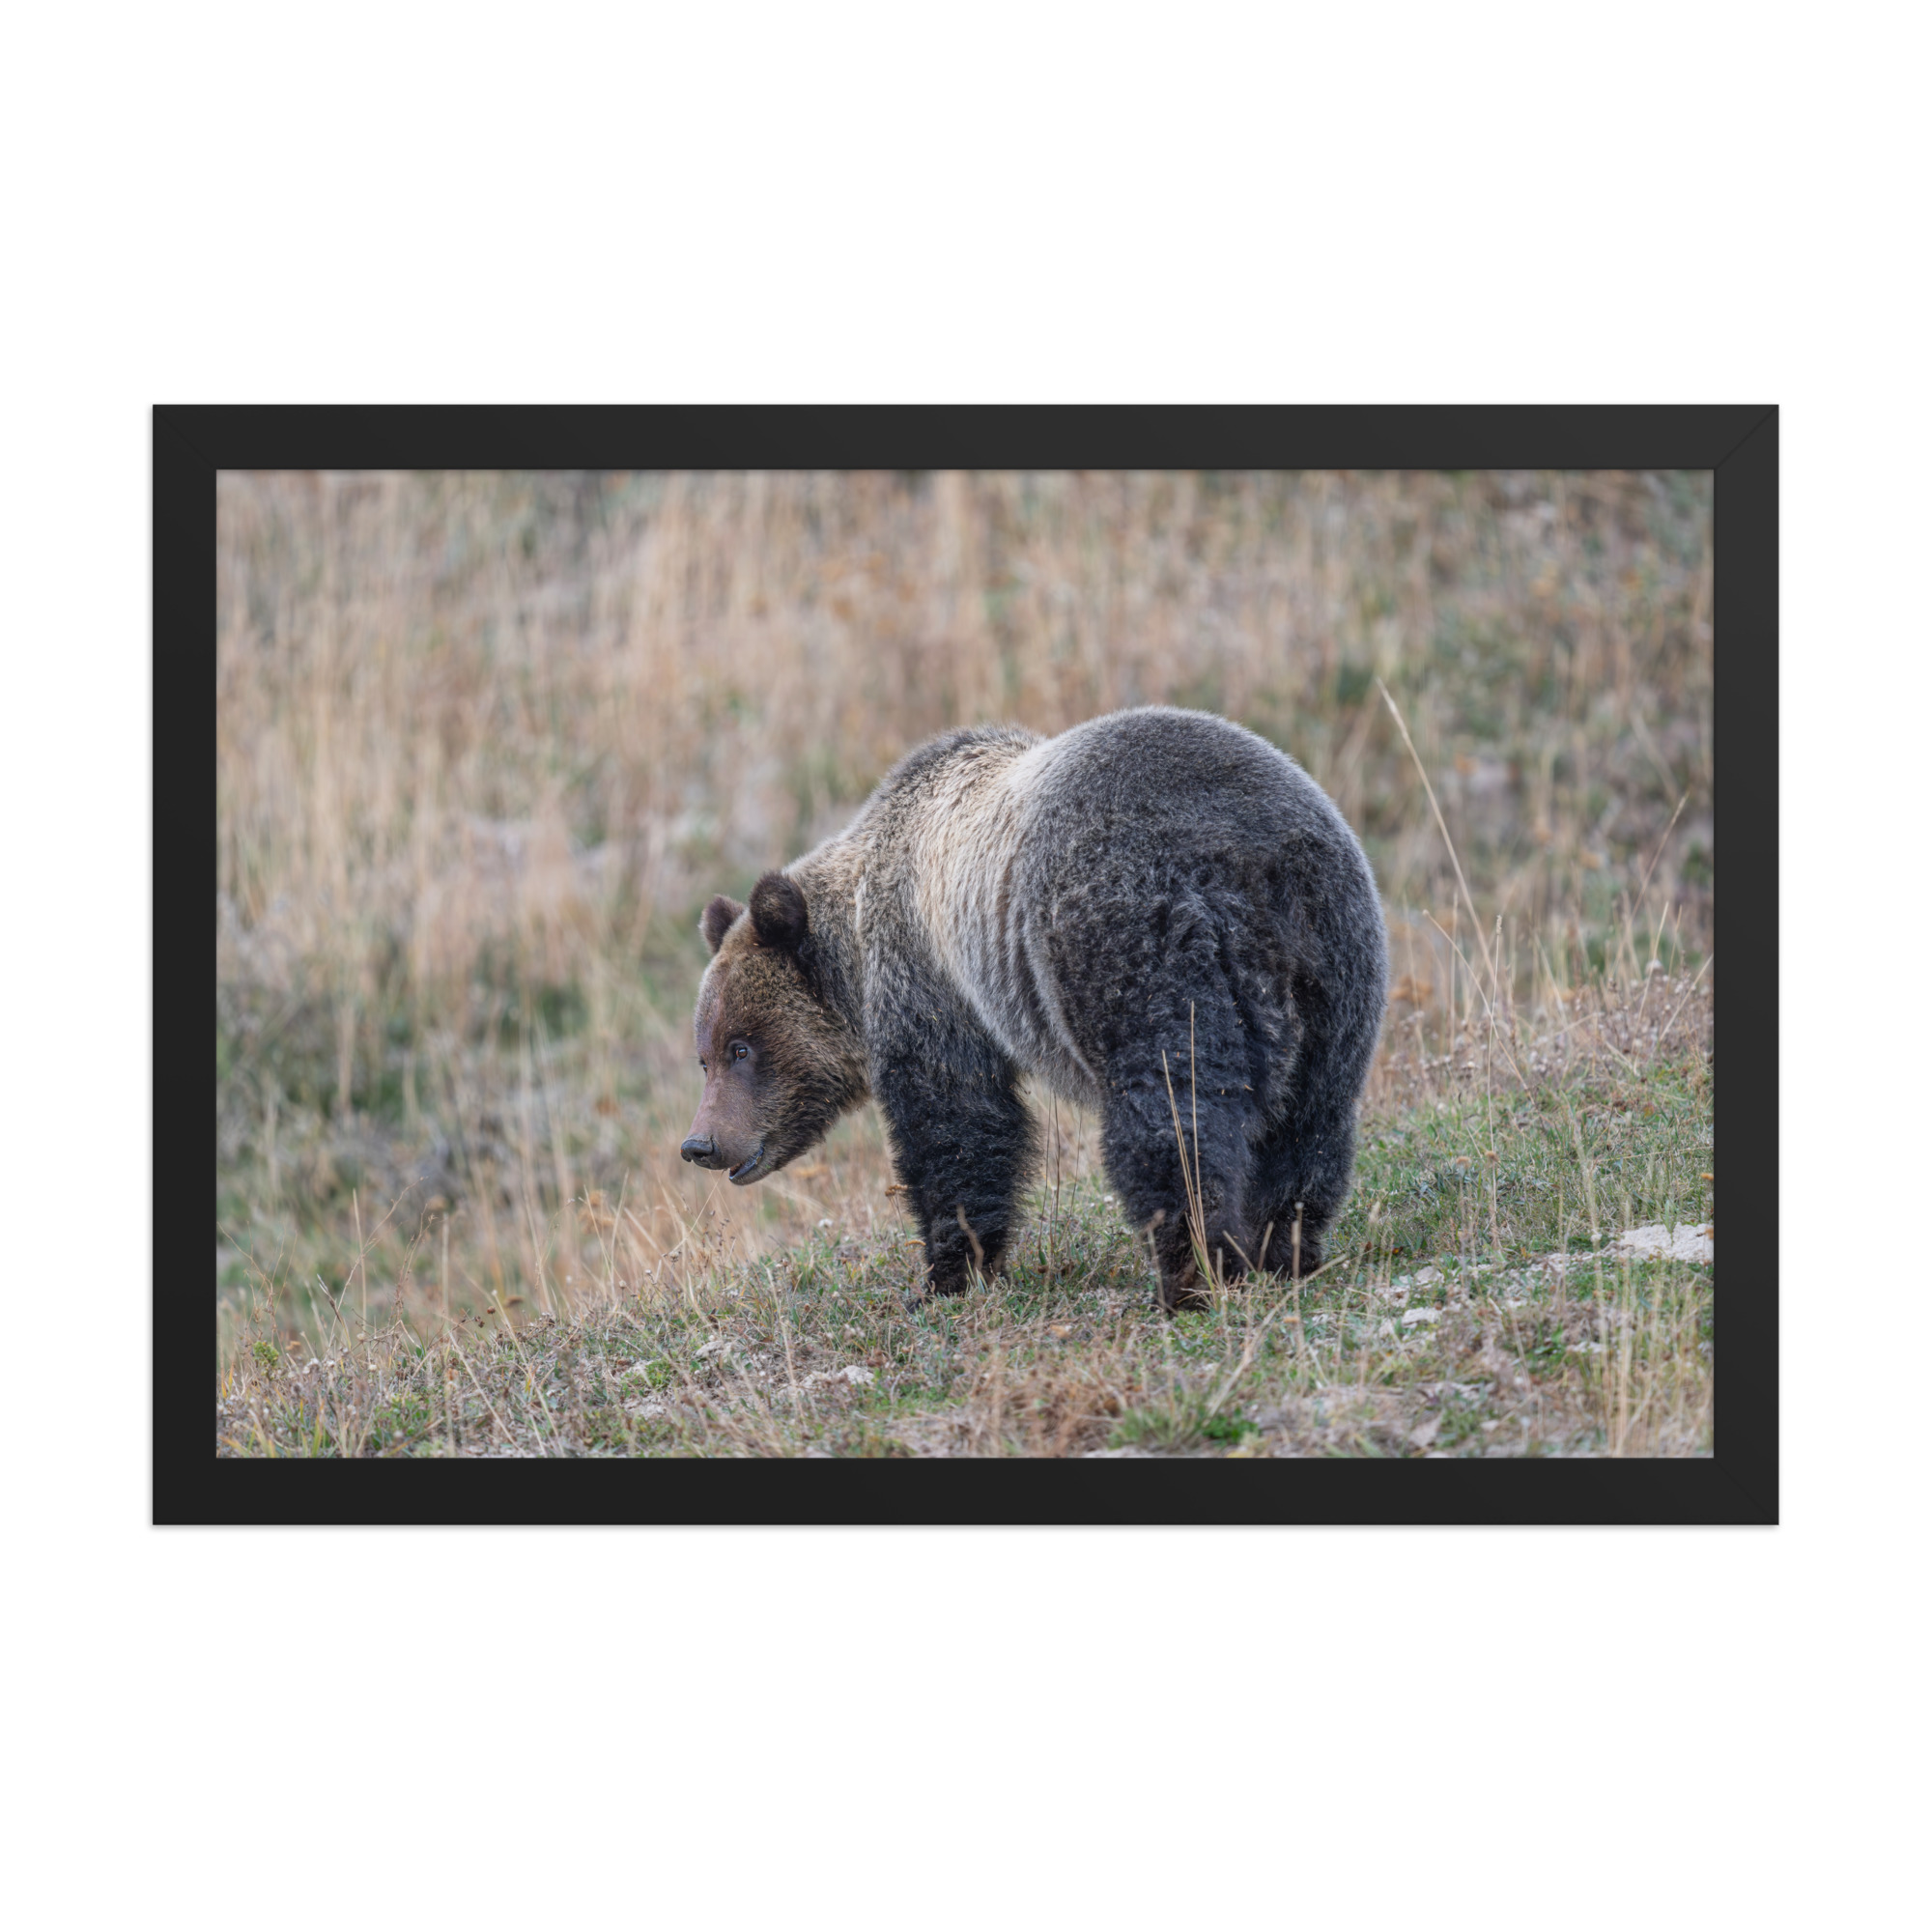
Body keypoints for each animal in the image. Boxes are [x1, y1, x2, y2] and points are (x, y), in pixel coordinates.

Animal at [682, 706, 1388, 1312]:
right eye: (705, 1055)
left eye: (741, 1047)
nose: (700, 1143)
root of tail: (1250, 861)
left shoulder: (931, 981)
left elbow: (957, 1123)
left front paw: (948, 1273)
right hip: (1334, 962)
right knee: (1310, 1120)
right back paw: (1283, 1249)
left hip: (1135, 942)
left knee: (1173, 1116)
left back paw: (1191, 1273)